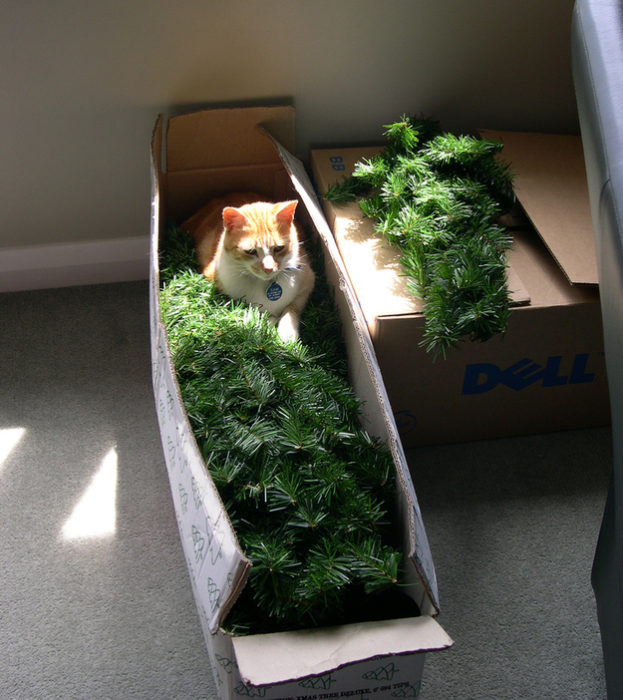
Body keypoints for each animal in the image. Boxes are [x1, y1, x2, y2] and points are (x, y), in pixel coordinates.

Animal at [183, 193, 314, 344]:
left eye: (279, 248)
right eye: (251, 251)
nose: (269, 269)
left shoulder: (308, 283)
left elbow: (292, 308)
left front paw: (287, 333)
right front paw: (266, 326)